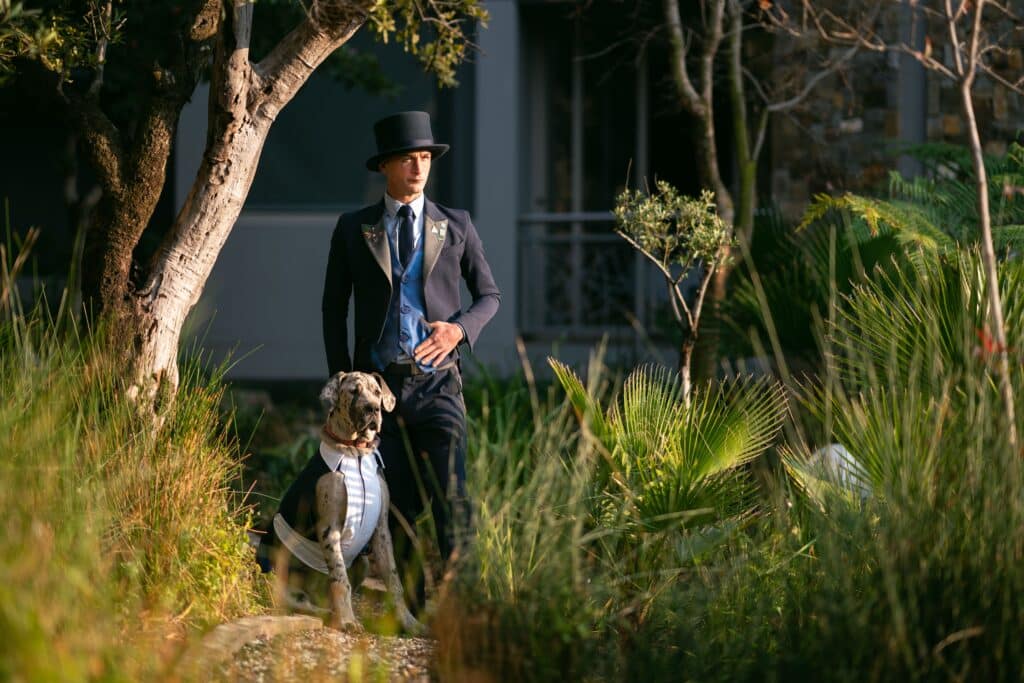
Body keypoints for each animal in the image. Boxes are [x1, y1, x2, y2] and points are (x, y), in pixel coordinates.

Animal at [264, 370, 423, 634]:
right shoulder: (329, 528)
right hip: (280, 579)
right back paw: (331, 614)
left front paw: (409, 621)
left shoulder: (381, 529)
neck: (355, 452)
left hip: (363, 562)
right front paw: (348, 620)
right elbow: (340, 579)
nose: (373, 409)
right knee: (301, 602)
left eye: (377, 392)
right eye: (354, 391)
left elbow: (394, 580)